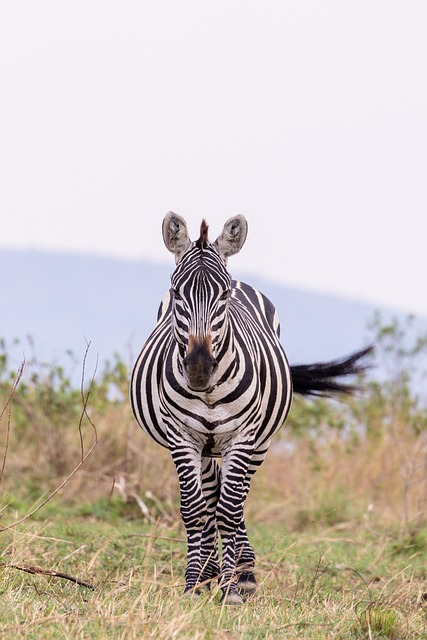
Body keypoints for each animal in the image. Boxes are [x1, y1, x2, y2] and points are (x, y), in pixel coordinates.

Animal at [130, 211, 372, 604]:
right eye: (177, 293)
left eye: (224, 295)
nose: (199, 369)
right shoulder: (182, 438)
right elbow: (195, 510)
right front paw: (195, 584)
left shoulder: (243, 437)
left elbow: (230, 509)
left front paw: (232, 589)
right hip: (205, 446)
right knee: (212, 497)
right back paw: (212, 572)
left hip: (259, 443)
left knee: (236, 498)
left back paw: (242, 573)